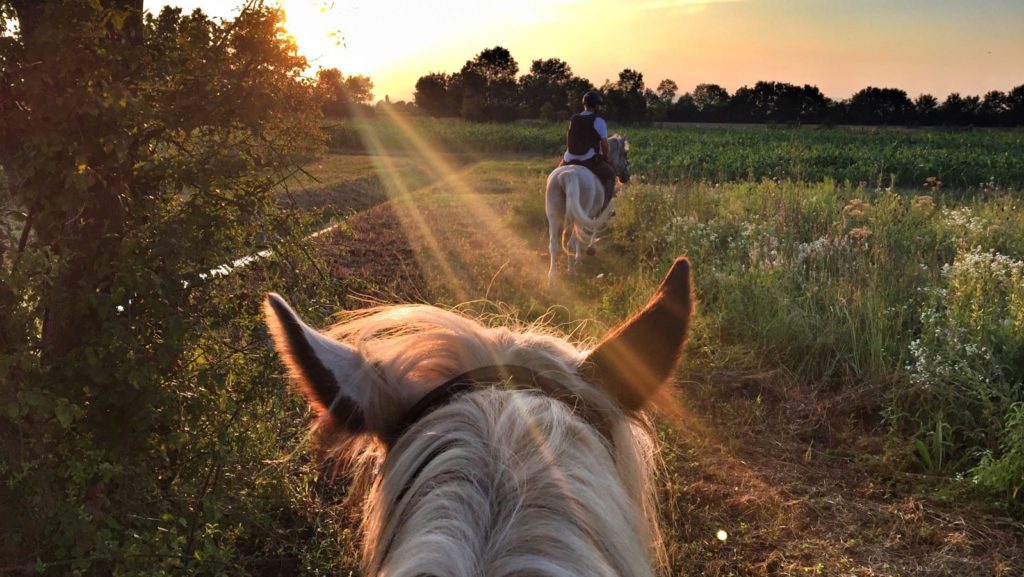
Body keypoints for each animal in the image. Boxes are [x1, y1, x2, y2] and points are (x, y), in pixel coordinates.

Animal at [544, 136, 630, 289]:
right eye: (625, 154)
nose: (626, 177)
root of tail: (567, 176)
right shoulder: (594, 214)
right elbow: (591, 231)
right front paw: (588, 251)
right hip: (578, 217)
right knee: (570, 243)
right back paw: (571, 272)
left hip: (554, 217)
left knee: (553, 245)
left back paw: (552, 278)